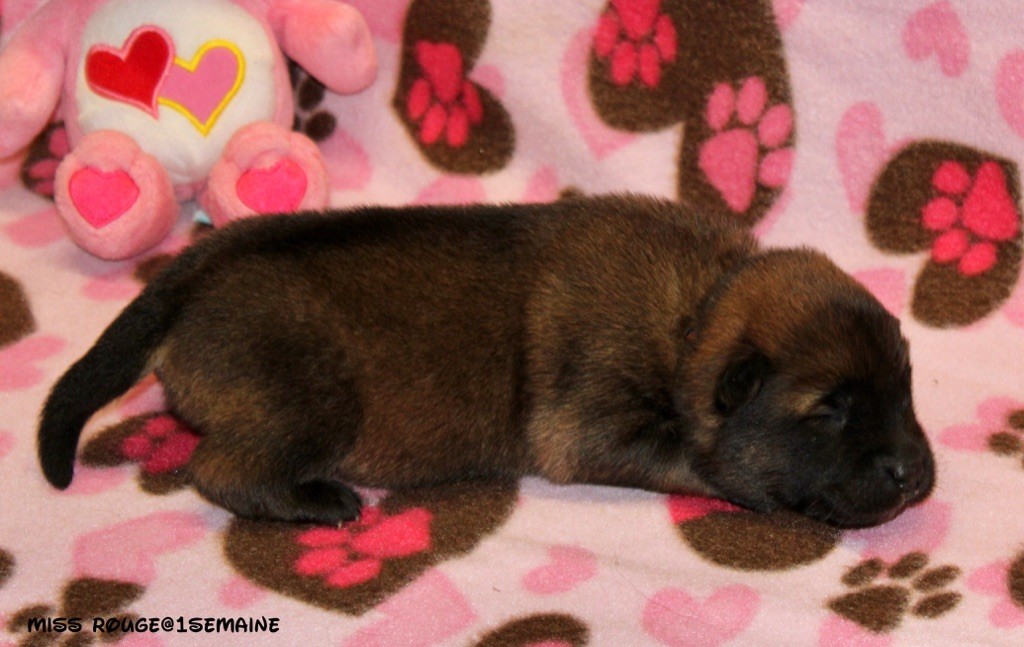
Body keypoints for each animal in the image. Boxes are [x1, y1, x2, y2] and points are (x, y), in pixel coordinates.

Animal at [38, 194, 935, 528]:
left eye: (906, 386)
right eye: (829, 409)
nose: (913, 474)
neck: (697, 312)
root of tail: (193, 273)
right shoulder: (590, 424)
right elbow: (700, 459)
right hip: (309, 397)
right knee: (220, 468)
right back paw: (319, 501)